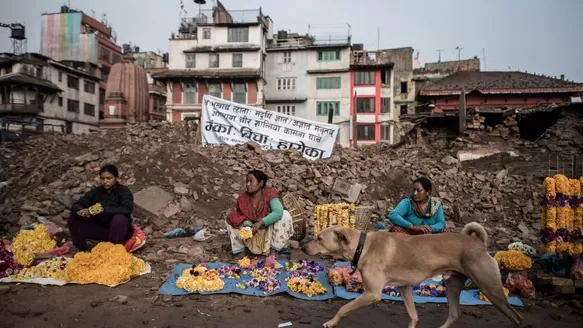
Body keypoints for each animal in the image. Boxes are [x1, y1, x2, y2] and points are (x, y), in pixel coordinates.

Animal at [304, 222, 524, 326]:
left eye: (319, 238)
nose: (304, 248)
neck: (362, 245)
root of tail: (479, 243)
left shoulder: (372, 293)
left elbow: (344, 308)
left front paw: (331, 323)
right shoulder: (405, 288)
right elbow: (413, 316)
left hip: (491, 289)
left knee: (516, 317)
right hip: (453, 286)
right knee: (454, 314)